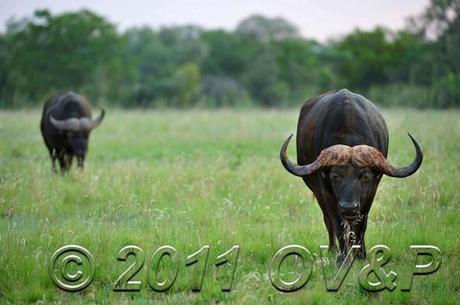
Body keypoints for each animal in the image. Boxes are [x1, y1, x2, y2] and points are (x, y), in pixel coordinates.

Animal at [278, 89, 422, 260]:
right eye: (335, 176)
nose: (348, 207)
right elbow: (337, 224)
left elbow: (361, 224)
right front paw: (342, 257)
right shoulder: (327, 193)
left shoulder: (370, 192)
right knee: (328, 220)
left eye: (365, 176)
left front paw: (361, 255)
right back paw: (333, 249)